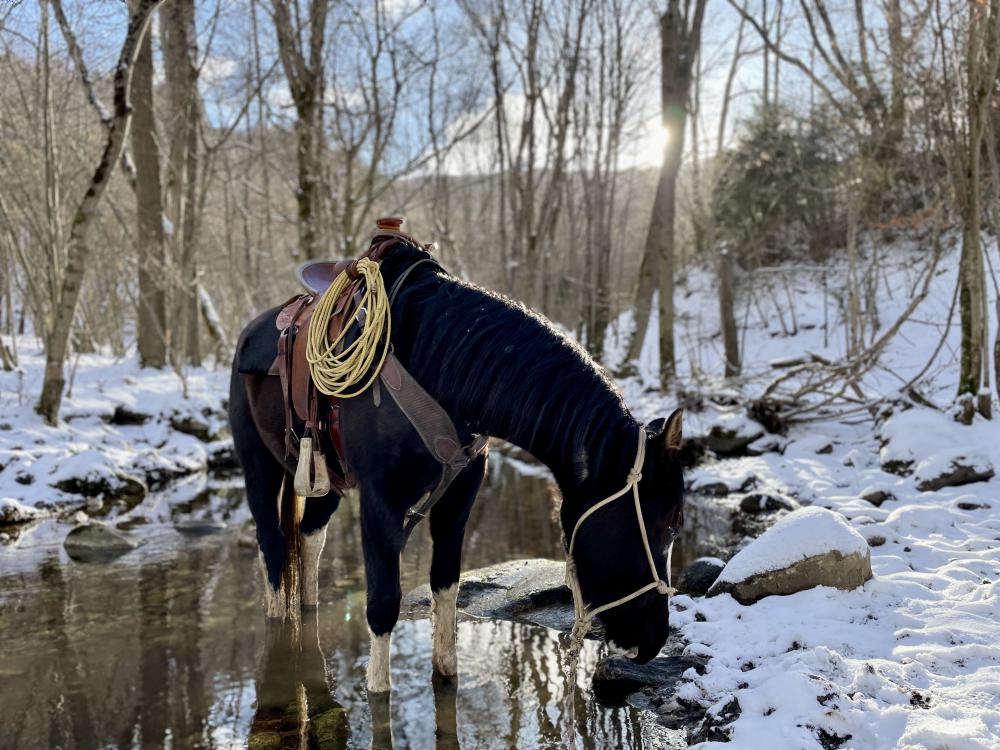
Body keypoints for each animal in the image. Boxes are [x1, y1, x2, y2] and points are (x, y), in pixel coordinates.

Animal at [229, 239, 685, 693]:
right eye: (671, 523)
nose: (655, 639)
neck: (437, 366)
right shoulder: (380, 501)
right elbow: (382, 606)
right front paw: (378, 691)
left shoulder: (461, 491)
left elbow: (446, 587)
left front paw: (446, 675)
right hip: (258, 468)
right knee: (273, 548)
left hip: (328, 482)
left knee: (309, 539)